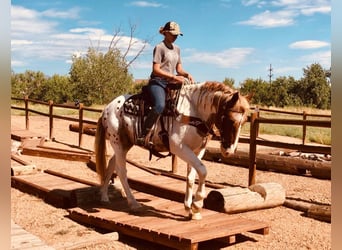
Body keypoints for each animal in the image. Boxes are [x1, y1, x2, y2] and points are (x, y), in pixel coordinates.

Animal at [93, 81, 251, 220]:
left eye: (244, 122)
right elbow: (203, 170)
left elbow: (192, 176)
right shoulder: (179, 147)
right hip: (118, 143)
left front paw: (190, 208)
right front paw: (197, 204)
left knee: (111, 164)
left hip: (124, 144)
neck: (193, 111)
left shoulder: (198, 150)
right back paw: (133, 203)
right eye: (230, 119)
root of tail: (106, 109)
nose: (229, 150)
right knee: (121, 171)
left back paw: (104, 196)